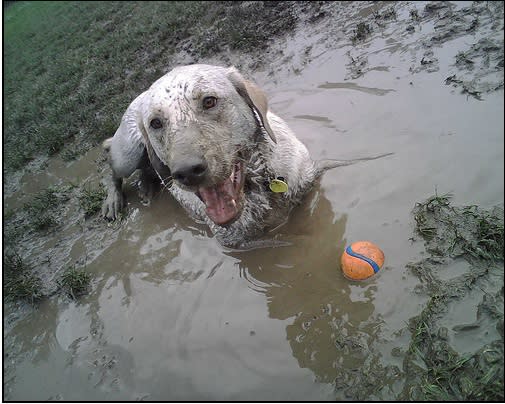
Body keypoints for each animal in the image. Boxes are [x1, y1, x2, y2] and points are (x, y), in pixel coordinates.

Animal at [102, 64, 386, 248]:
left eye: (209, 101)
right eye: (156, 123)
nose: (186, 171)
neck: (261, 183)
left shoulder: (313, 178)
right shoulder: (239, 243)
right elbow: (295, 241)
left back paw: (147, 184)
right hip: (127, 152)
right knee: (110, 162)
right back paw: (114, 198)